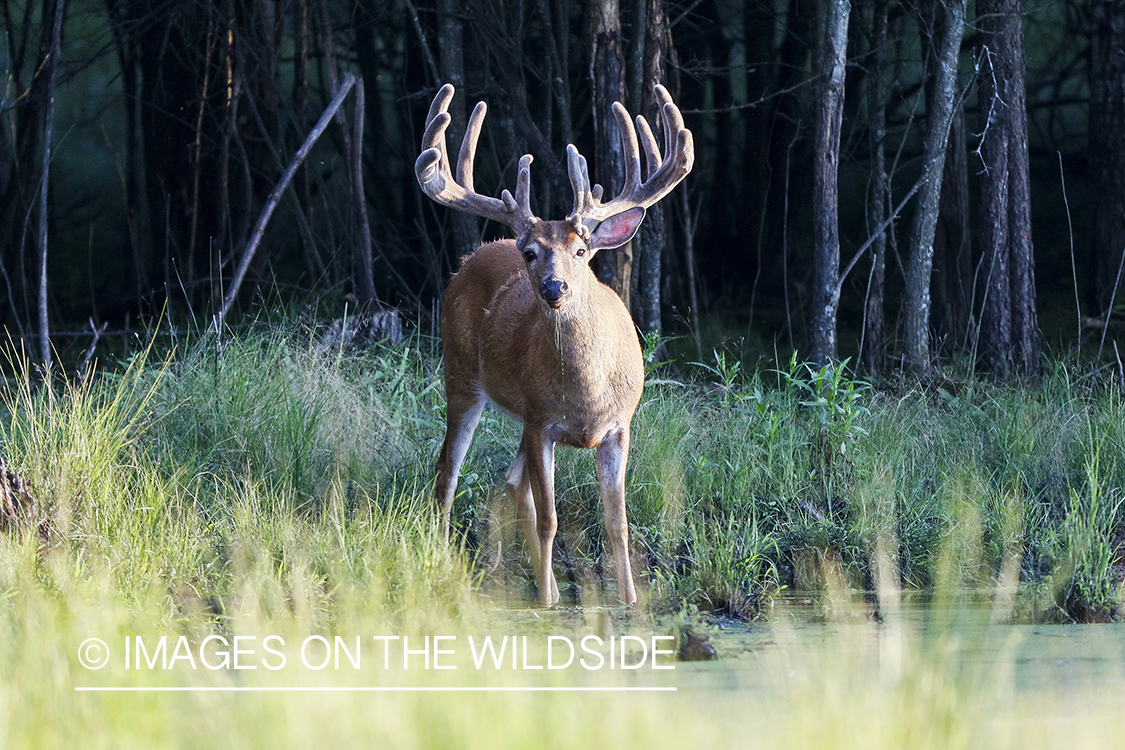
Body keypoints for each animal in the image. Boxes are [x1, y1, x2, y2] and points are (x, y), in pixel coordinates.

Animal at [416, 83, 688, 611]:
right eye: (530, 252)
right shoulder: (543, 423)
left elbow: (618, 521)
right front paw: (546, 603)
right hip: (462, 377)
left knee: (509, 481)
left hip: (519, 413)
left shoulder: (619, 425)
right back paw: (444, 561)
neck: (586, 394)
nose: (554, 287)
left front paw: (628, 601)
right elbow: (550, 519)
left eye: (581, 251)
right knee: (447, 473)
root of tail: (473, 255)